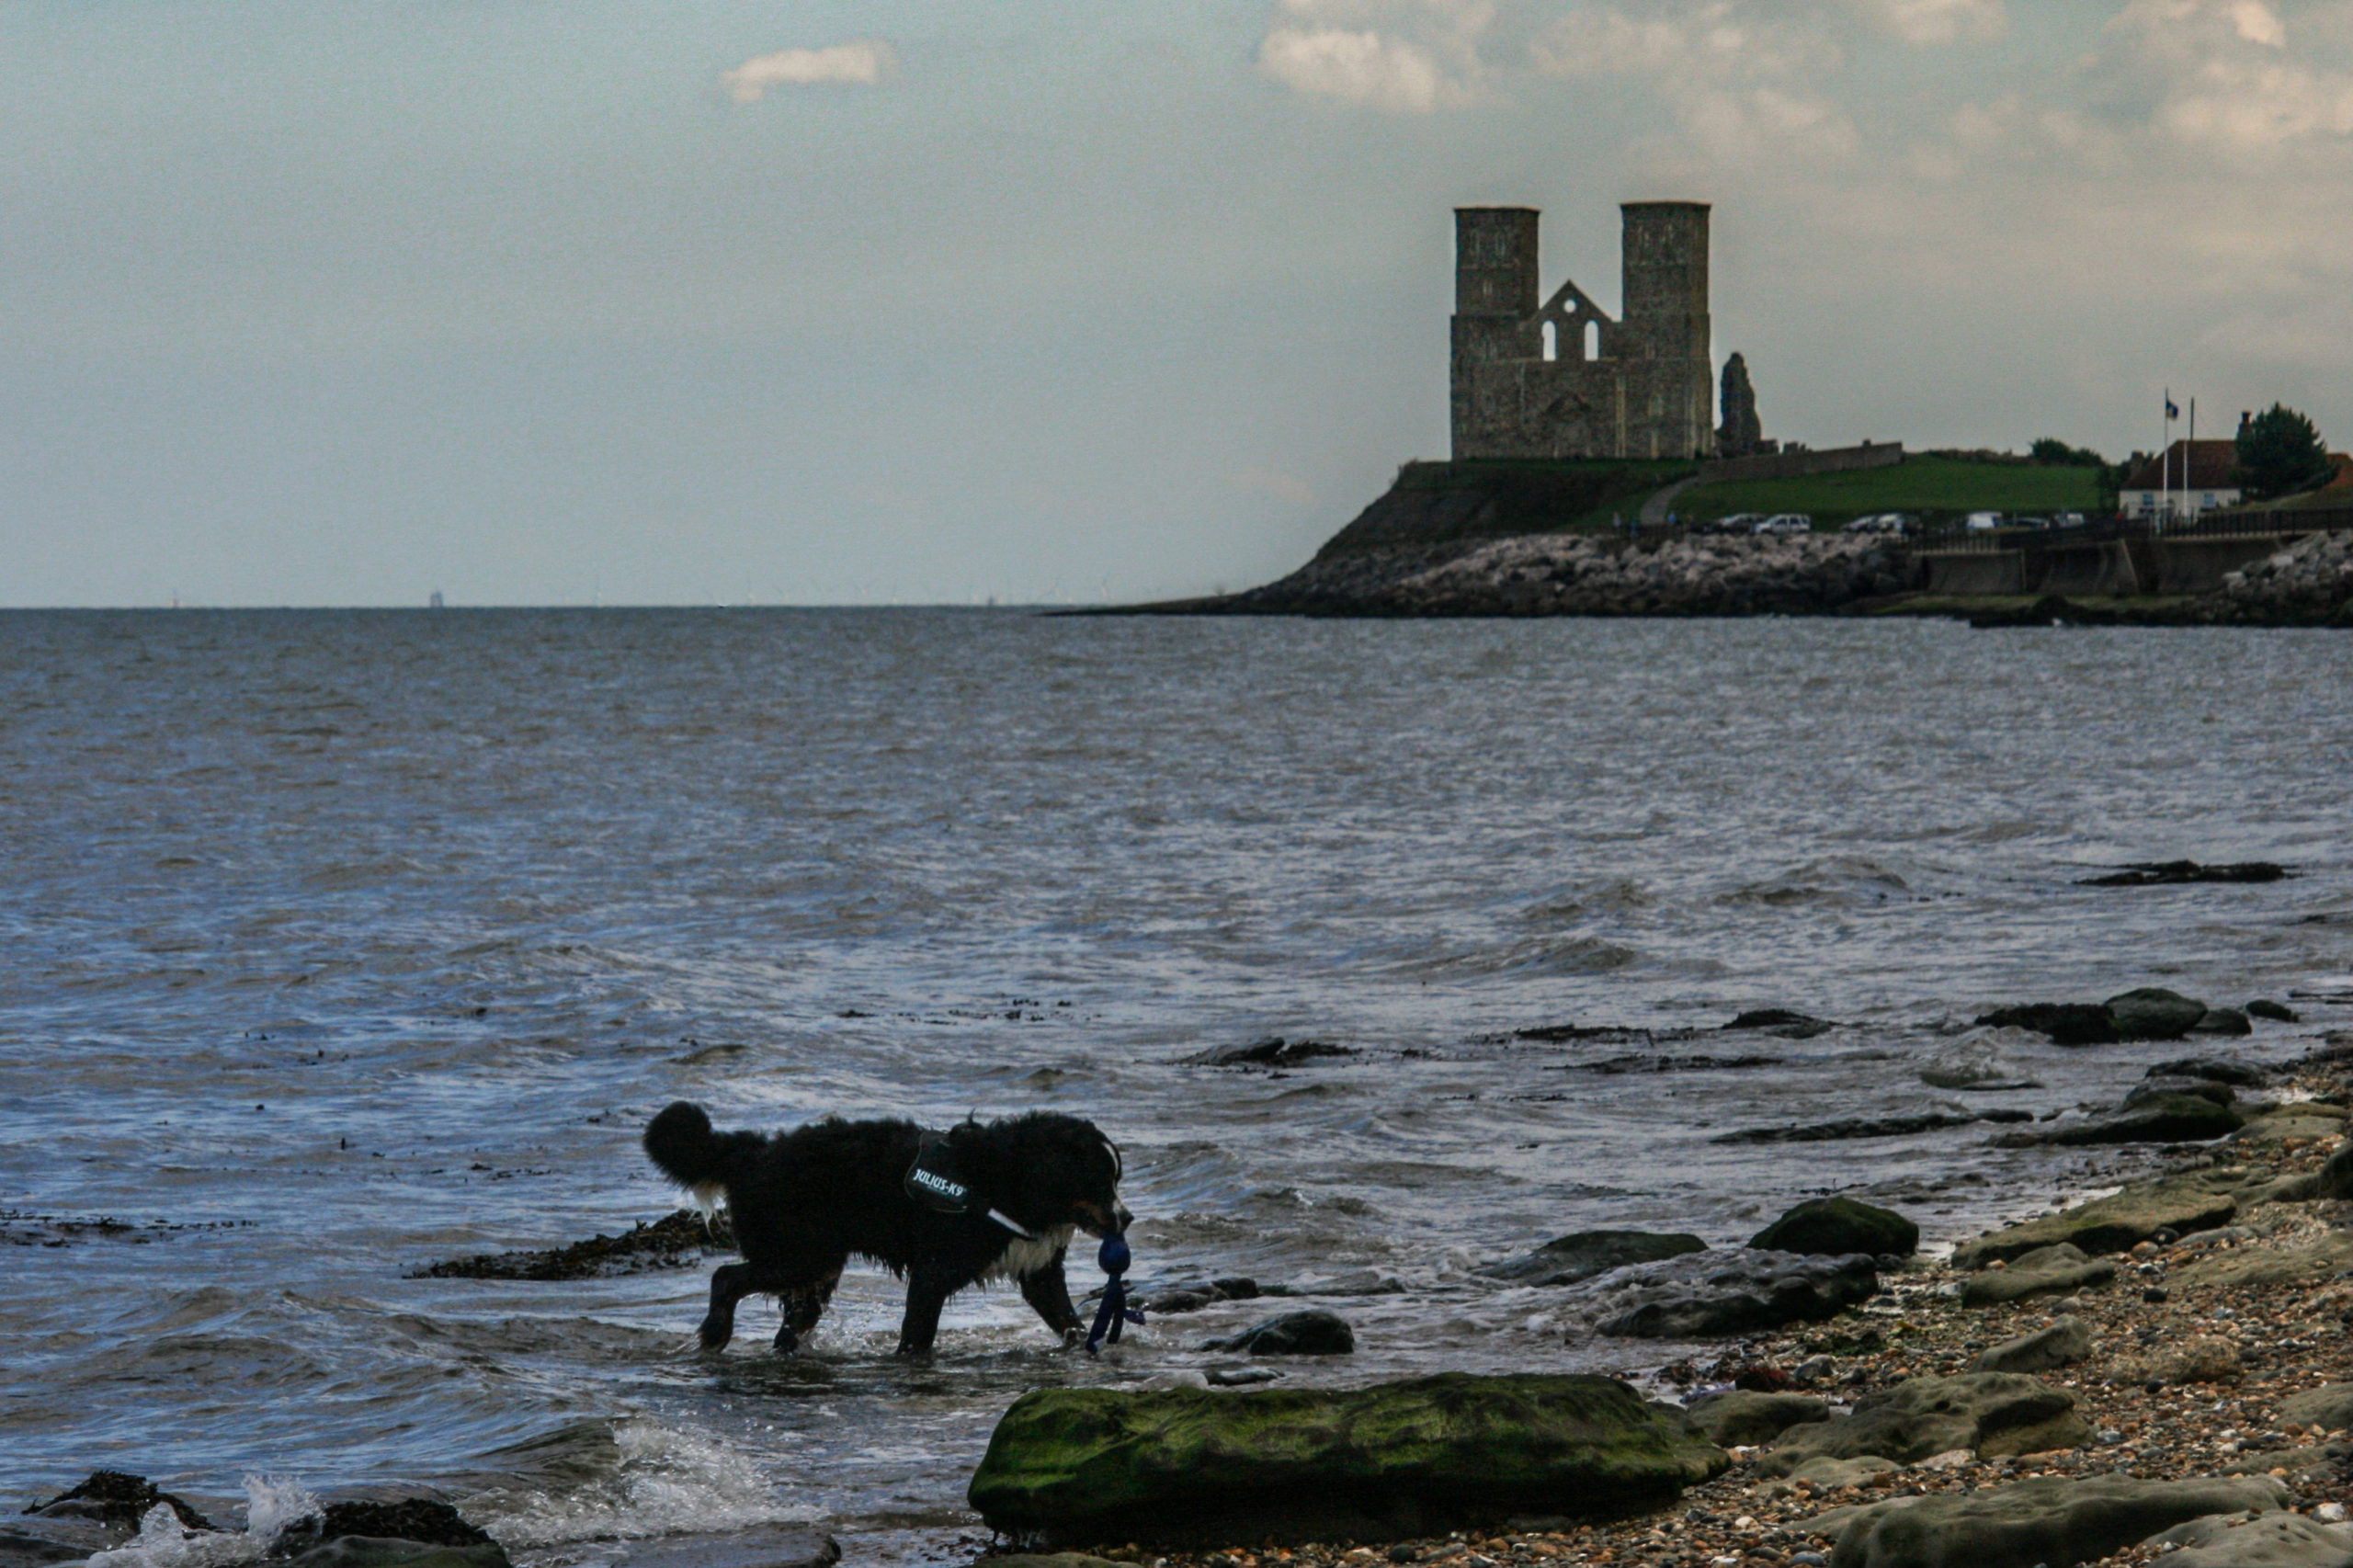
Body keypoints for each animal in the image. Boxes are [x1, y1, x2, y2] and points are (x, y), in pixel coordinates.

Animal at [640, 1106, 1124, 1346]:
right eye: (1098, 1181)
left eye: (1116, 1179)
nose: (1127, 1218)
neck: (1011, 1180)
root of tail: (754, 1151)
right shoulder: (934, 1273)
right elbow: (916, 1337)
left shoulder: (1039, 1272)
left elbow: (1069, 1321)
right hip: (798, 1255)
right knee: (725, 1277)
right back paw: (715, 1333)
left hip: (815, 1269)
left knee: (791, 1322)